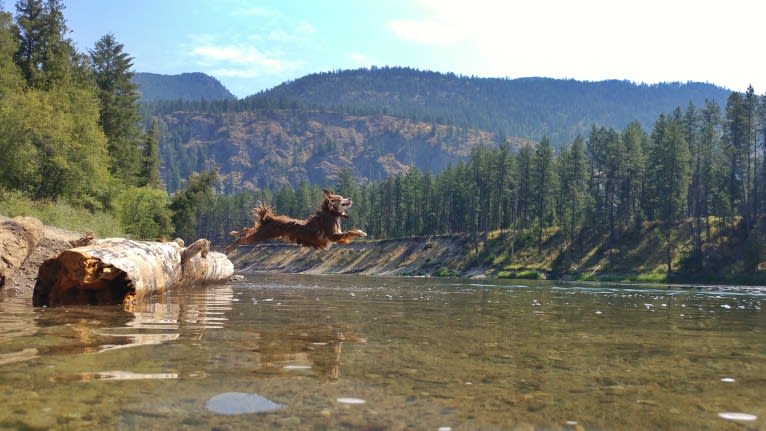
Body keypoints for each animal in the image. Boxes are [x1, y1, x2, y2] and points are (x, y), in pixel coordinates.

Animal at [225, 189, 368, 253]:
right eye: (339, 199)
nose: (350, 199)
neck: (331, 213)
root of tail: (270, 218)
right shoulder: (332, 236)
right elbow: (350, 231)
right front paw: (361, 233)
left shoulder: (338, 238)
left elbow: (348, 233)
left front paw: (360, 232)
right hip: (263, 234)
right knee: (243, 239)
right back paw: (229, 247)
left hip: (263, 230)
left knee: (248, 229)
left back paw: (234, 233)